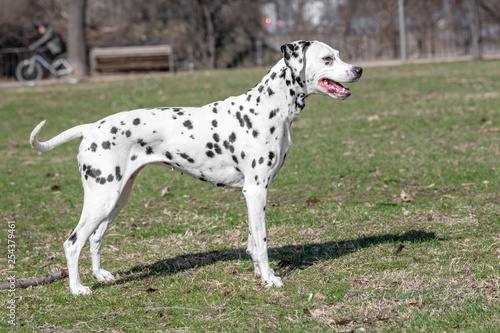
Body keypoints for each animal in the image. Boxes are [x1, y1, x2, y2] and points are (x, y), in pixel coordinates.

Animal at [30, 40, 360, 294]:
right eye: (328, 58)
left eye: (339, 53)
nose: (358, 70)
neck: (267, 107)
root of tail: (90, 128)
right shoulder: (256, 191)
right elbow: (263, 241)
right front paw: (269, 278)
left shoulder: (252, 194)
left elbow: (253, 242)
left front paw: (258, 274)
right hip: (103, 198)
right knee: (73, 243)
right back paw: (77, 288)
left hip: (116, 199)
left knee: (95, 238)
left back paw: (101, 275)